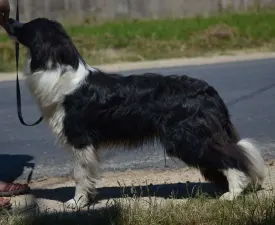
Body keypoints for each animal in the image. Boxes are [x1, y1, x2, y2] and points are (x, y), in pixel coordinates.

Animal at [4, 18, 268, 209]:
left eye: (26, 26)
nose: (9, 19)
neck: (59, 68)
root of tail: (209, 91)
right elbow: (88, 175)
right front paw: (88, 198)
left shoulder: (80, 140)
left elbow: (79, 174)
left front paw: (77, 202)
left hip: (187, 138)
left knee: (232, 157)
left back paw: (232, 194)